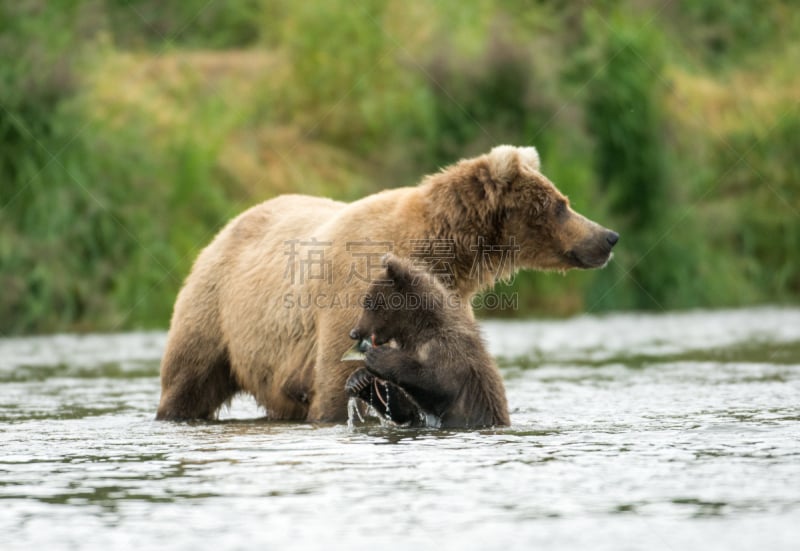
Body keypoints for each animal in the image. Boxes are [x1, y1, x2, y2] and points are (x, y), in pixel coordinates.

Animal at [156, 146, 620, 422]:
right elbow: (335, 386)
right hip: (216, 312)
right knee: (188, 378)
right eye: (560, 205)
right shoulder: (350, 293)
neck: (439, 251)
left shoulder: (448, 300)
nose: (608, 237)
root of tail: (225, 226)